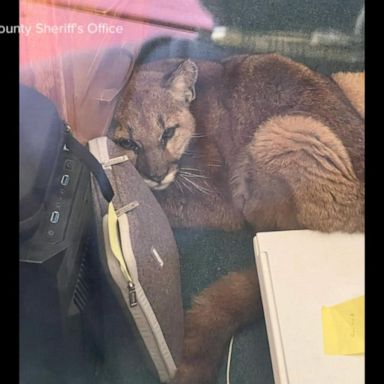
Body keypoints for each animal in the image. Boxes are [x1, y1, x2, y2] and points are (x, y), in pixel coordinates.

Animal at [110, 54, 364, 384]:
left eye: (167, 133)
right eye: (128, 143)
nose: (156, 175)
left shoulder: (221, 202)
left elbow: (169, 203)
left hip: (287, 131)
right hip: (346, 80)